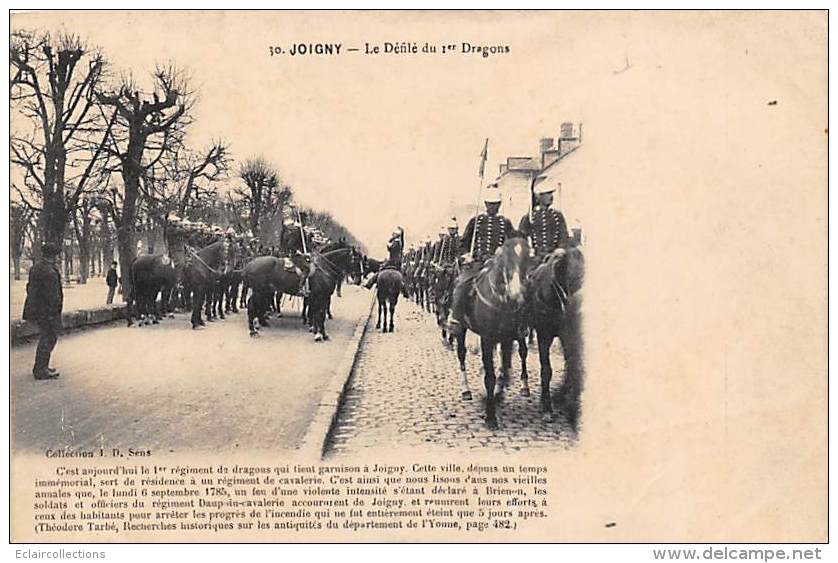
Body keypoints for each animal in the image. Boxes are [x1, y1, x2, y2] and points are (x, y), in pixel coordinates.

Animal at [452, 237, 540, 428]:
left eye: (528, 258)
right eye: (505, 259)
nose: (517, 293)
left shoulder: (507, 338)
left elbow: (505, 370)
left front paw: (498, 396)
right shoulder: (487, 338)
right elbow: (490, 377)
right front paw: (490, 415)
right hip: (461, 329)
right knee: (461, 354)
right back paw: (466, 390)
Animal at [528, 246, 588, 428]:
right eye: (572, 275)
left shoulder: (569, 336)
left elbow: (572, 363)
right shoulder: (543, 334)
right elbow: (546, 370)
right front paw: (547, 407)